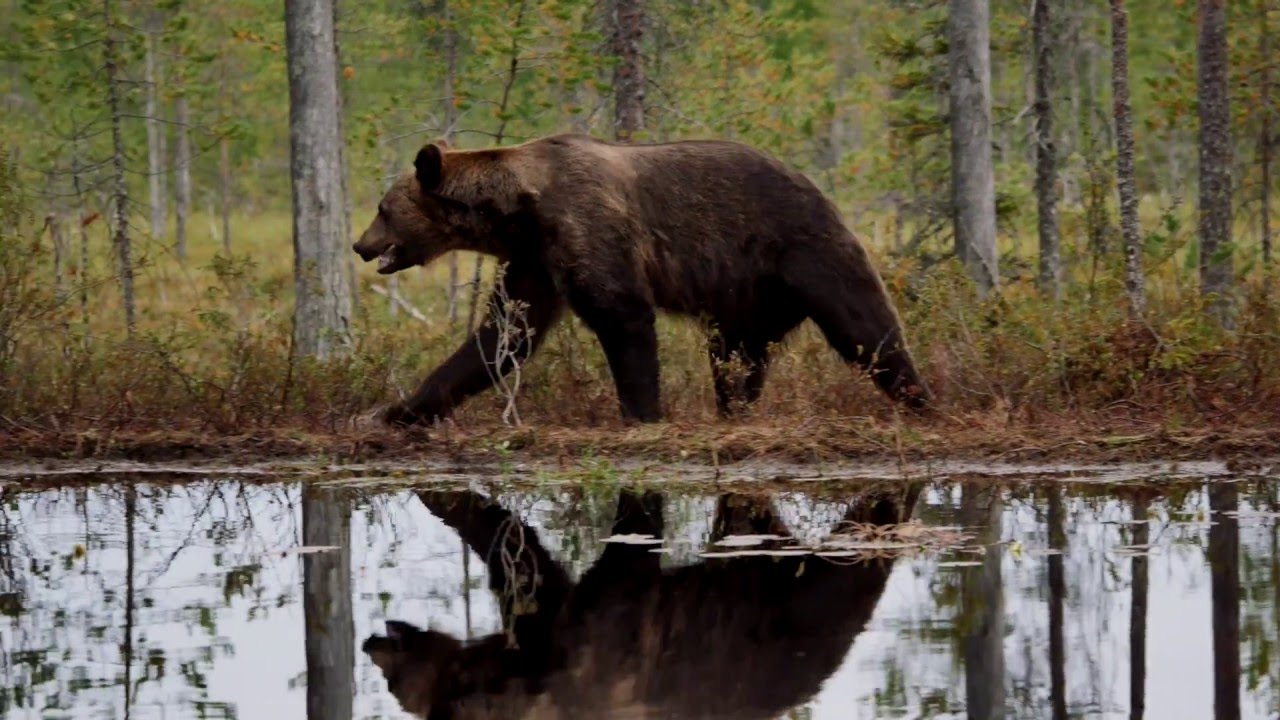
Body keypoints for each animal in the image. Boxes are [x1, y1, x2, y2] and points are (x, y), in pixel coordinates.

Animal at [352, 132, 930, 427]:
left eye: (383, 209)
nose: (360, 245)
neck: (518, 210)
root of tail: (815, 186)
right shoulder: (535, 259)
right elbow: (504, 335)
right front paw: (400, 409)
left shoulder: (584, 224)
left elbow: (621, 313)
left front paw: (642, 412)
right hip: (744, 296)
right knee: (736, 357)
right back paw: (733, 410)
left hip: (801, 249)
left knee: (864, 327)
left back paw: (919, 397)